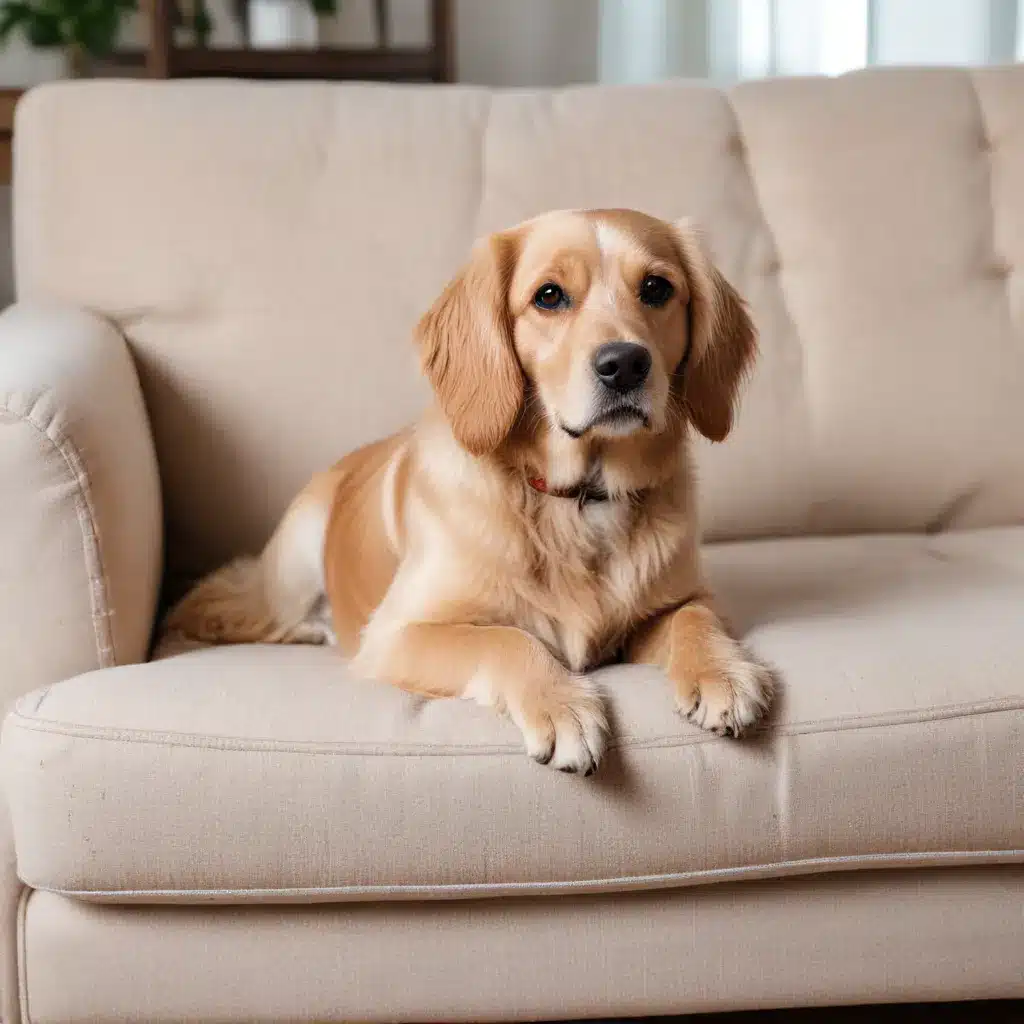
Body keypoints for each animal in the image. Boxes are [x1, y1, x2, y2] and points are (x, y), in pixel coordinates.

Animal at [167, 207, 770, 770]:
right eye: (549, 296)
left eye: (657, 288)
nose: (624, 364)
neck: (578, 500)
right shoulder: (397, 634)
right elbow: (506, 638)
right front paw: (561, 704)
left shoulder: (682, 598)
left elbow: (695, 618)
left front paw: (721, 671)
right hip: (295, 559)